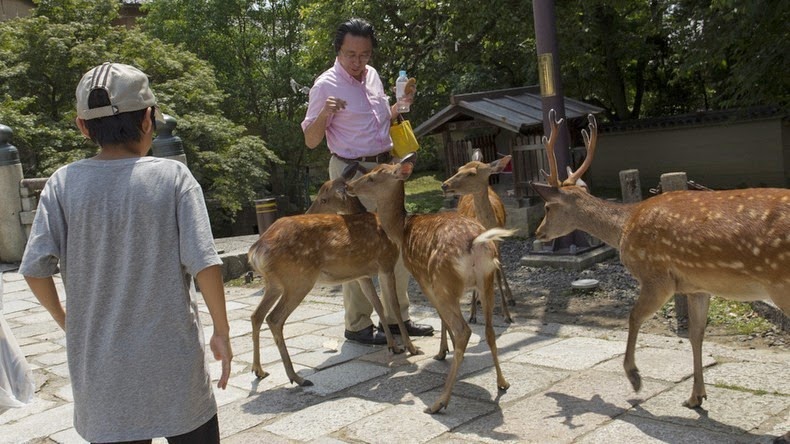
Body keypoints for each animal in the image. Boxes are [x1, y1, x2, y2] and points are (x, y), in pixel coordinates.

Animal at [248, 165, 420, 386]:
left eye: (324, 199)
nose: (307, 212)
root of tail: (256, 250)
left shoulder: (362, 274)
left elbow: (378, 306)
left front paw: (393, 346)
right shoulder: (386, 263)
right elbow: (395, 307)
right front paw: (411, 348)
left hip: (275, 283)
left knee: (256, 315)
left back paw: (259, 370)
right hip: (298, 280)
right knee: (274, 319)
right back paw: (296, 377)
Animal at [442, 149, 516, 322]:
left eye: (472, 173)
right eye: (459, 169)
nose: (444, 185)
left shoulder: (495, 243)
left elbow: (496, 273)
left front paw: (507, 314)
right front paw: (472, 314)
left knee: (500, 264)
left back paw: (510, 297)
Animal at [532, 109, 790, 428]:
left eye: (547, 208)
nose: (538, 232)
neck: (623, 229)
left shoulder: (657, 278)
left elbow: (633, 317)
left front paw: (634, 377)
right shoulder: (696, 287)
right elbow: (696, 334)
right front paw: (695, 397)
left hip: (781, 283)